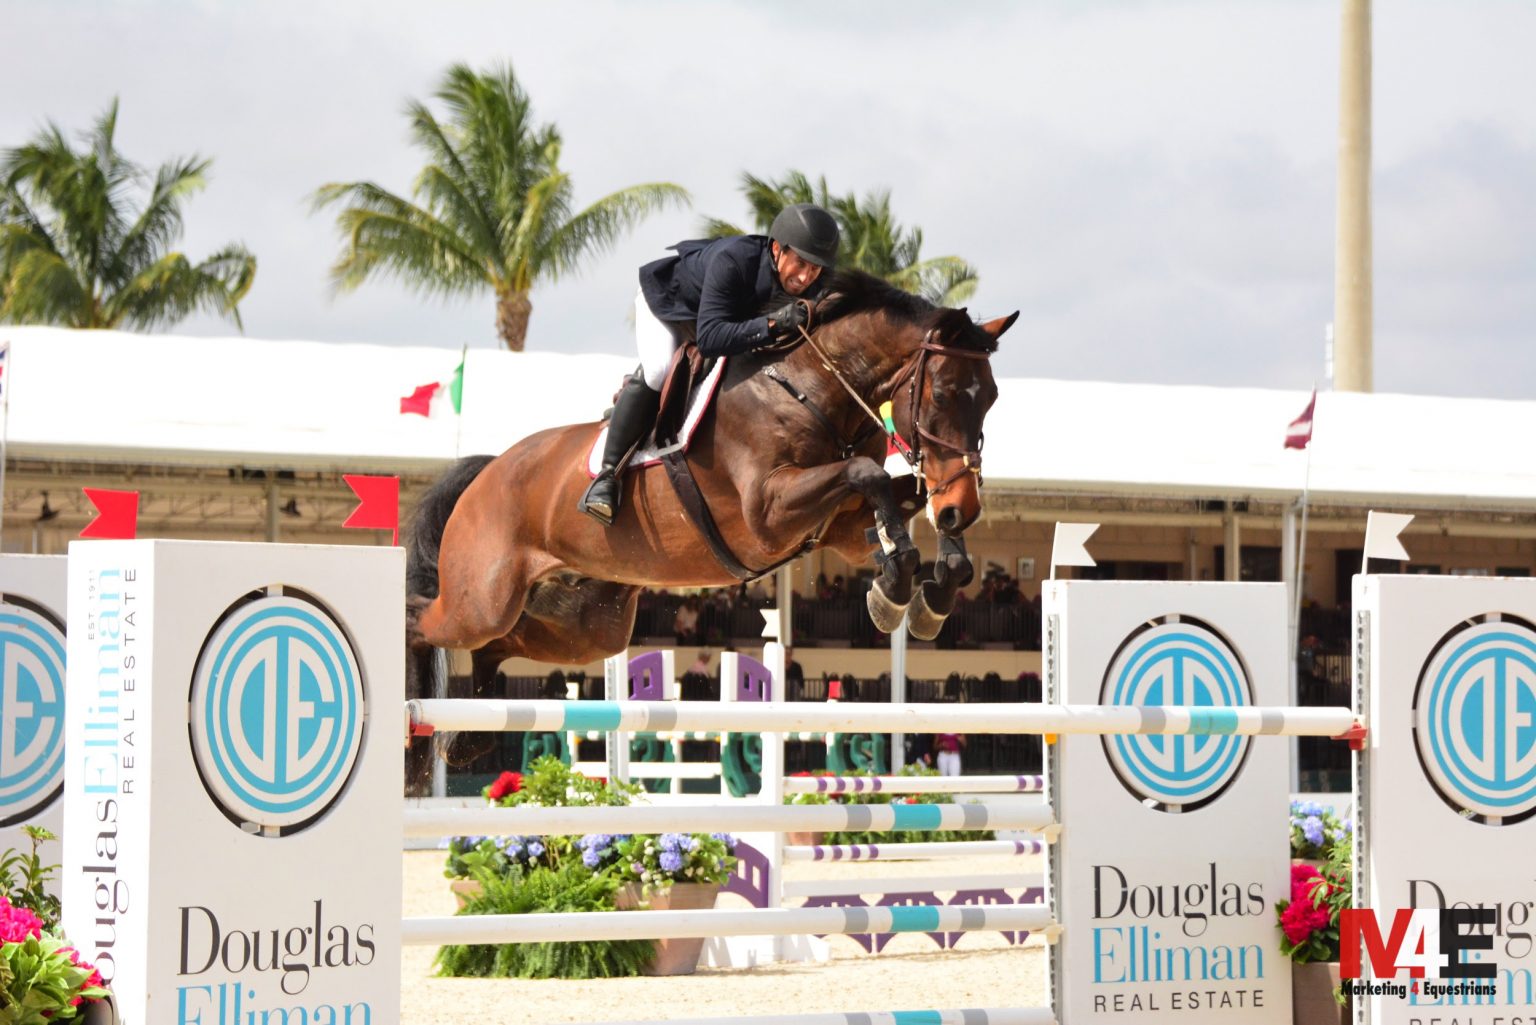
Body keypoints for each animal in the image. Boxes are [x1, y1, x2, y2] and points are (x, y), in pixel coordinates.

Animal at [404, 269, 1016, 787]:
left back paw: (469, 740)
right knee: (422, 622)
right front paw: (894, 589)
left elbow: (897, 499)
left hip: (587, 626)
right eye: (942, 394)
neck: (809, 386)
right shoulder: (767, 514)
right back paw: (414, 740)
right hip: (481, 599)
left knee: (499, 644)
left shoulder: (838, 529)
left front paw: (926, 590)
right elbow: (870, 475)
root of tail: (488, 470)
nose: (963, 506)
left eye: (990, 398)